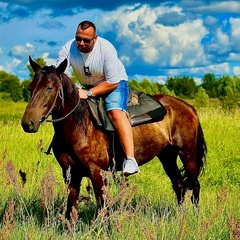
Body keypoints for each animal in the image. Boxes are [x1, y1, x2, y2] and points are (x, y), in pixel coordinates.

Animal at [21, 57, 207, 218]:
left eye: (49, 87)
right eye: (31, 87)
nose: (28, 123)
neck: (79, 126)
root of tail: (189, 107)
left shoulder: (98, 173)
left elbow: (104, 209)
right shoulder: (70, 173)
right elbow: (71, 210)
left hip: (187, 154)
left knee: (194, 185)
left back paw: (195, 218)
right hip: (167, 156)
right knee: (180, 186)